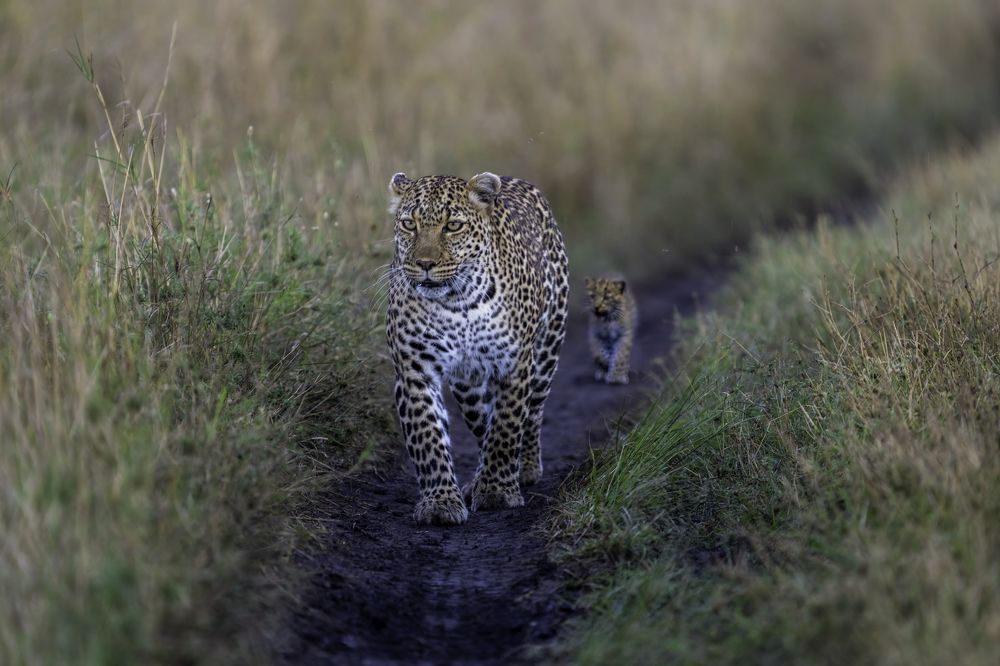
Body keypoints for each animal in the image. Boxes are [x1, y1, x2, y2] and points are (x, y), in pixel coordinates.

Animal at [384, 171, 569, 525]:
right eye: (409, 224)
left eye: (453, 226)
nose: (424, 263)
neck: (458, 303)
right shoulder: (415, 371)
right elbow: (428, 436)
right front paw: (441, 502)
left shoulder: (514, 365)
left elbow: (508, 426)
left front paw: (497, 491)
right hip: (467, 386)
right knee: (483, 422)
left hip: (546, 353)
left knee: (531, 416)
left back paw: (524, 469)